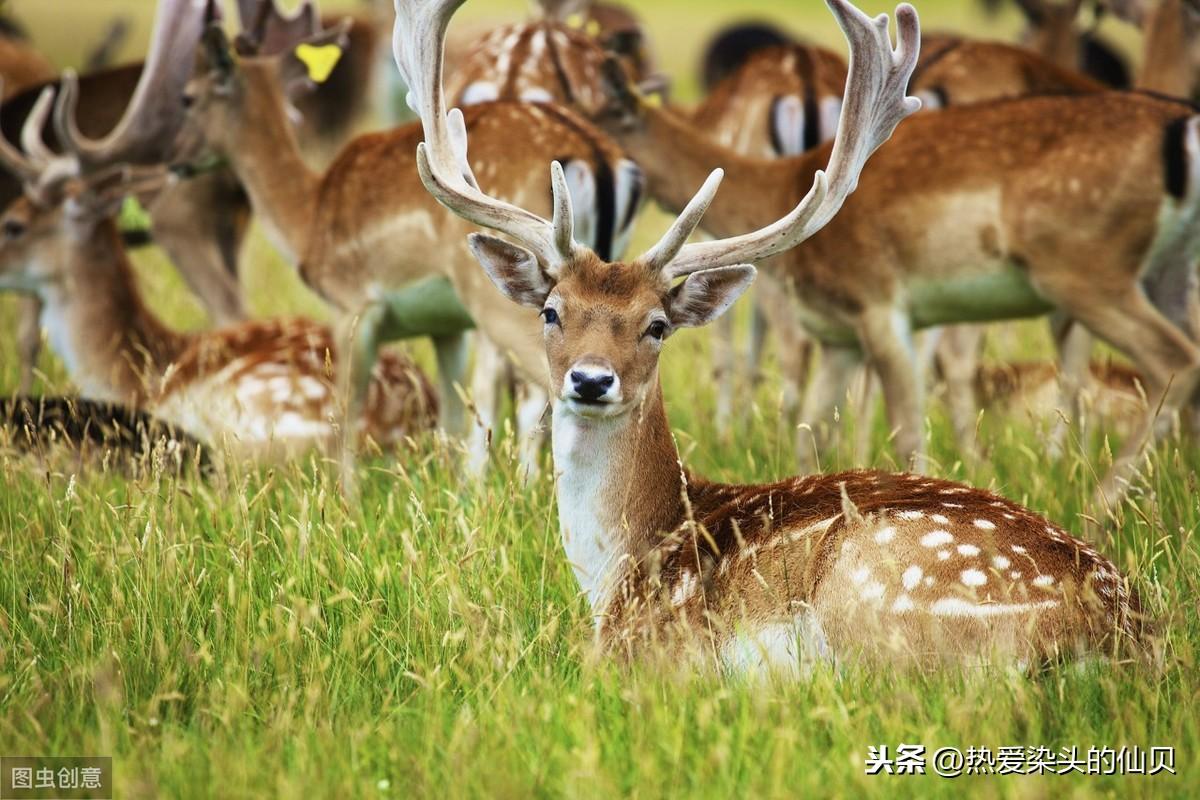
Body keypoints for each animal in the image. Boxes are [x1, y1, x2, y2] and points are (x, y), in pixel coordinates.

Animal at [393, 0, 1142, 671]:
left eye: (657, 325)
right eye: (551, 310)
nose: (591, 380)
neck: (619, 565)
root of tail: (1116, 631)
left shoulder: (640, 650)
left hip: (876, 596)